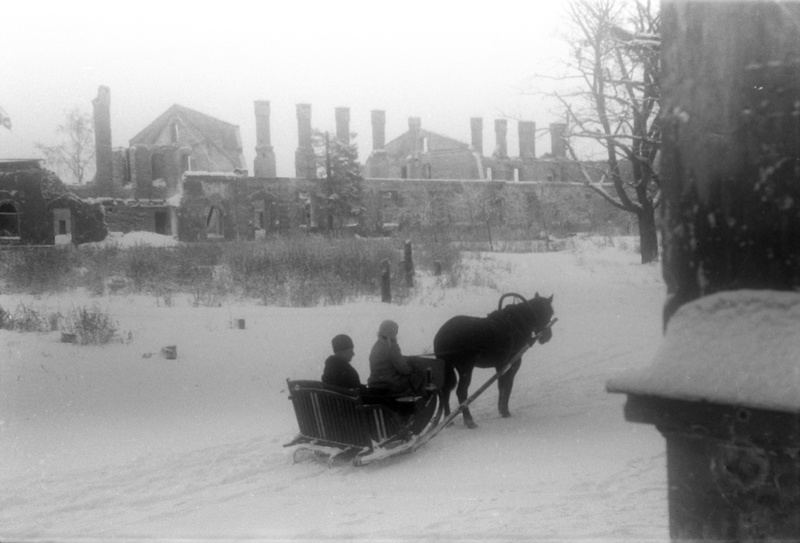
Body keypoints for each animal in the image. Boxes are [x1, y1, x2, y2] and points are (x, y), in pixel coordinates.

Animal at [432, 294, 556, 430]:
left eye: (550, 313)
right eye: (542, 312)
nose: (547, 336)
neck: (517, 322)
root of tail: (442, 335)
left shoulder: (500, 365)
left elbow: (501, 385)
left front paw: (501, 410)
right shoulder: (513, 363)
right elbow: (508, 385)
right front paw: (505, 411)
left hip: (447, 368)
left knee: (446, 391)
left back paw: (448, 421)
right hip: (466, 368)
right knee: (461, 392)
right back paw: (469, 421)